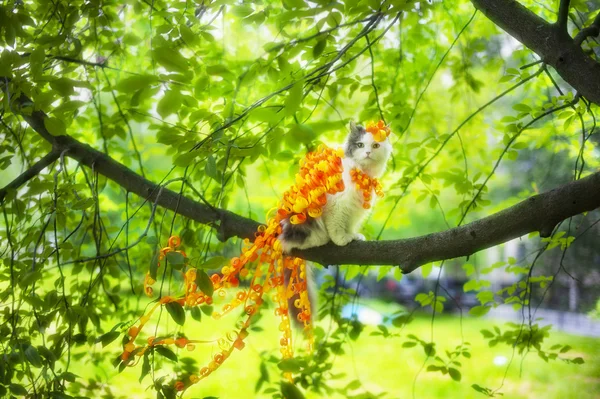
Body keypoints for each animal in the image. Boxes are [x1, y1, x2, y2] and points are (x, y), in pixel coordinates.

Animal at [278, 122, 392, 253]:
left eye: (375, 145)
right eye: (360, 145)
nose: (368, 153)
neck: (361, 172)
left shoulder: (354, 207)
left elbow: (349, 225)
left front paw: (352, 235)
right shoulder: (337, 205)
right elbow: (336, 226)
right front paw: (342, 239)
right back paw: (321, 239)